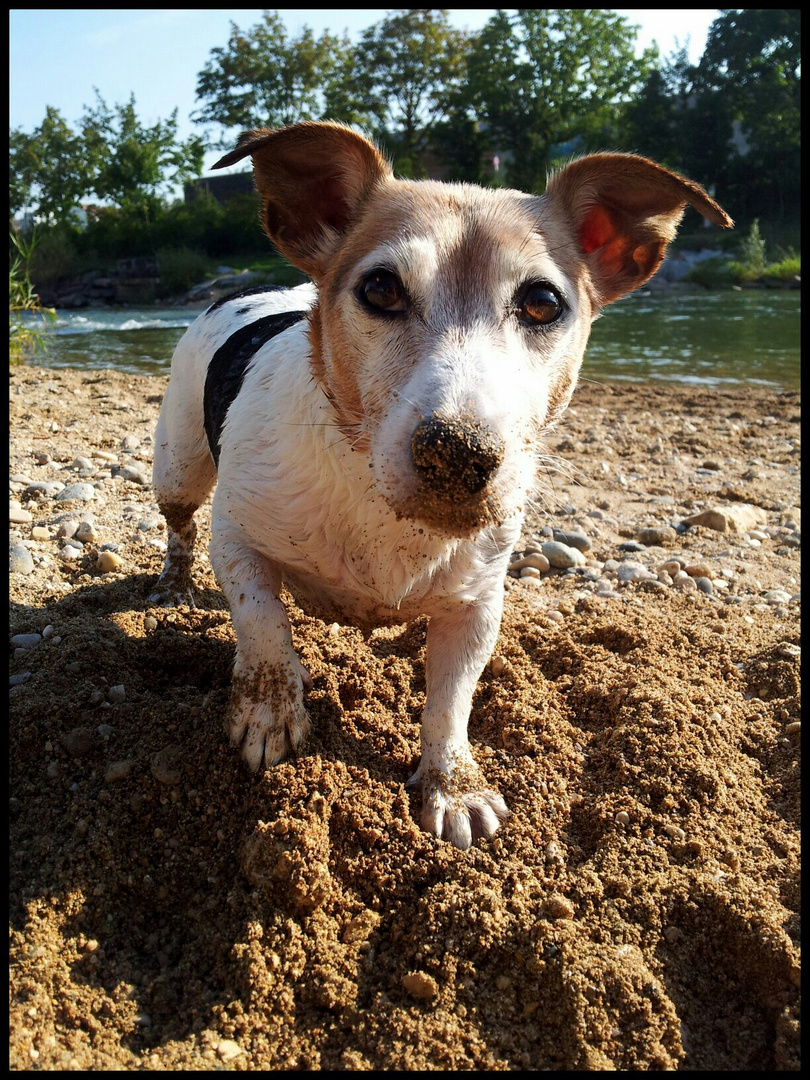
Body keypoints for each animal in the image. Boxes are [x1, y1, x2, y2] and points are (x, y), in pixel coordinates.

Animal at [152, 124, 734, 851]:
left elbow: (450, 703)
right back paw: (174, 584)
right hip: (177, 466)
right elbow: (264, 630)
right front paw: (268, 713)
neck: (378, 500)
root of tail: (243, 292)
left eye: (543, 303)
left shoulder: (476, 603)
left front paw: (452, 785)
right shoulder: (237, 540)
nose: (458, 452)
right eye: (380, 288)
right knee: (179, 525)